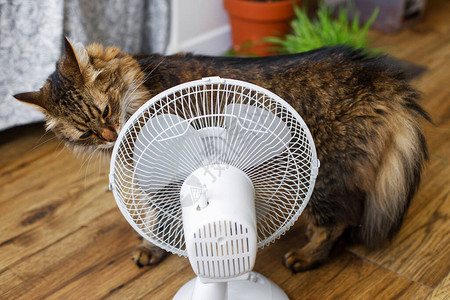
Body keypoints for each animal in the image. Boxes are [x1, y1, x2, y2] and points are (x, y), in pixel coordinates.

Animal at [13, 37, 428, 272]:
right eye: (85, 131)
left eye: (104, 110)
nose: (109, 135)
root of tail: (378, 73)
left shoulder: (166, 179)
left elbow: (159, 224)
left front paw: (156, 248)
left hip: (324, 172)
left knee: (339, 221)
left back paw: (307, 256)